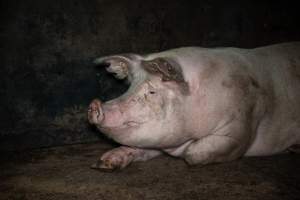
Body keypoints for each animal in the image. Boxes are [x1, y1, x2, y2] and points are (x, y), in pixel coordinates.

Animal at [87, 42, 300, 170]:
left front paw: (187, 152)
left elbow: (194, 153)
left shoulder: (243, 123)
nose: (94, 107)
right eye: (130, 86)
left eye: (152, 92)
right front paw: (103, 163)